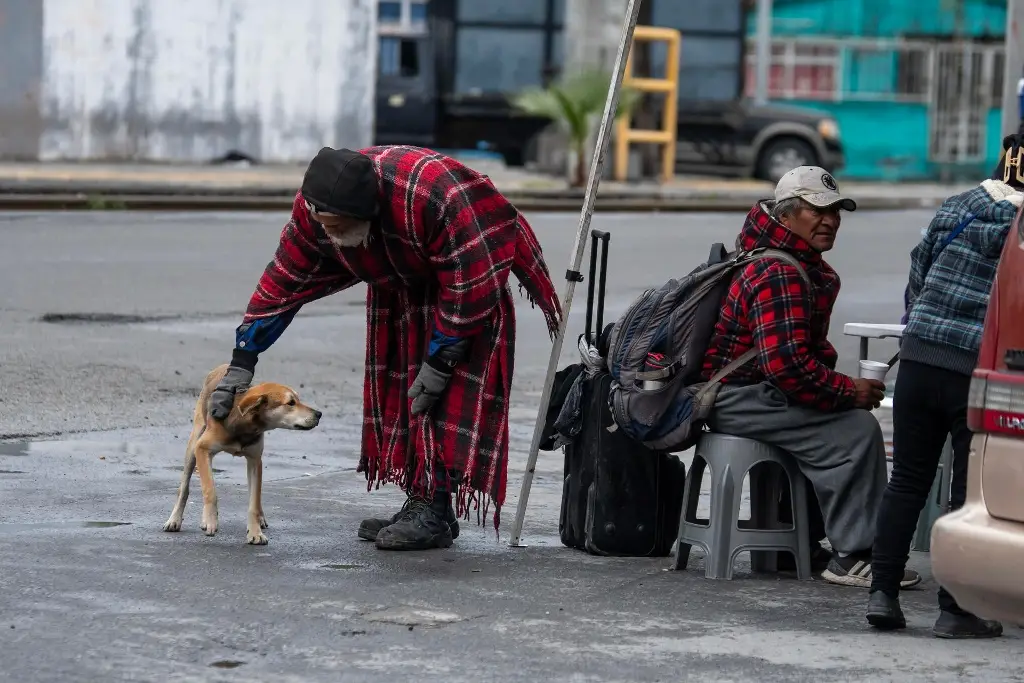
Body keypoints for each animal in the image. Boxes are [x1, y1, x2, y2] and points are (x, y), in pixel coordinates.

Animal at [161, 366, 319, 548]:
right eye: (291, 403)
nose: (319, 414)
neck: (245, 426)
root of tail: (222, 366)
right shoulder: (202, 449)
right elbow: (210, 489)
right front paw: (210, 520)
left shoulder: (255, 460)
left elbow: (254, 502)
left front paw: (255, 533)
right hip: (193, 444)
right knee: (184, 487)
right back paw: (174, 520)